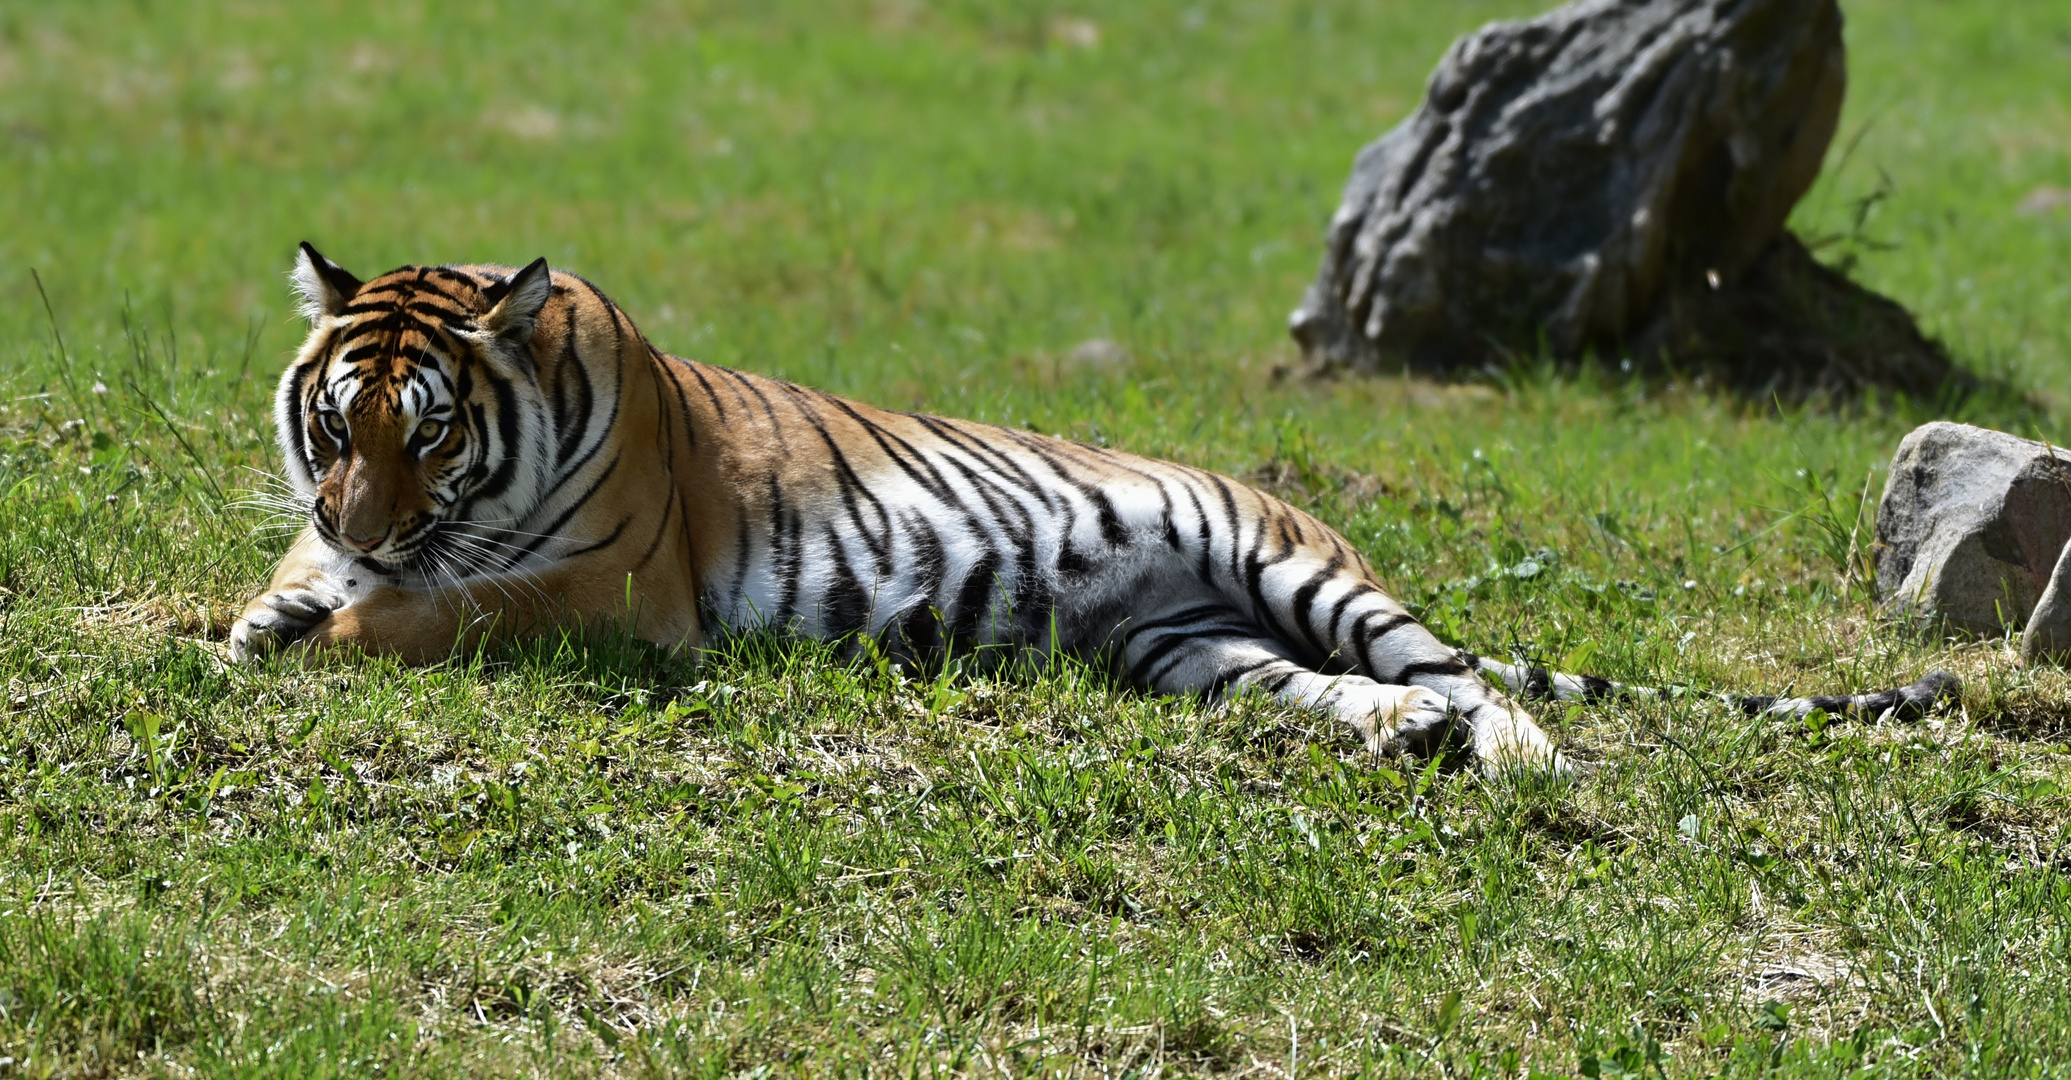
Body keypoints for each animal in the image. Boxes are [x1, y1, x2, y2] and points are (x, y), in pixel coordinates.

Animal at [226, 246, 1955, 766]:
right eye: (337, 426)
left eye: (430, 436)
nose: (365, 524)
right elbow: (289, 585)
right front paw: (269, 611)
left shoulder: (602, 591)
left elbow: (441, 610)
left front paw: (321, 636)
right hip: (1195, 648)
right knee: (1343, 695)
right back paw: (1406, 742)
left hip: (1302, 574)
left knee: (1471, 678)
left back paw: (1512, 754)